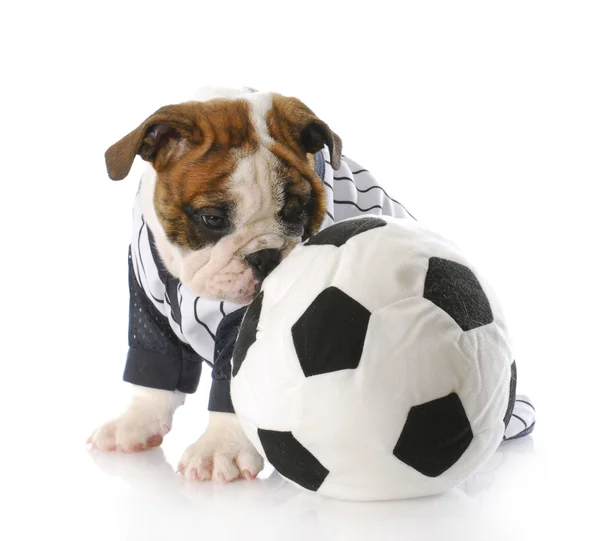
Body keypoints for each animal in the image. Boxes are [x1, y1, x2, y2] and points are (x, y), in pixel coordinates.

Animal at [88, 85, 412, 480]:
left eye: (297, 210)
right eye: (212, 218)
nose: (266, 256)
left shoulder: (240, 323)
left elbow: (232, 388)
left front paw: (219, 448)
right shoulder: (147, 302)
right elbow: (153, 368)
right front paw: (135, 422)